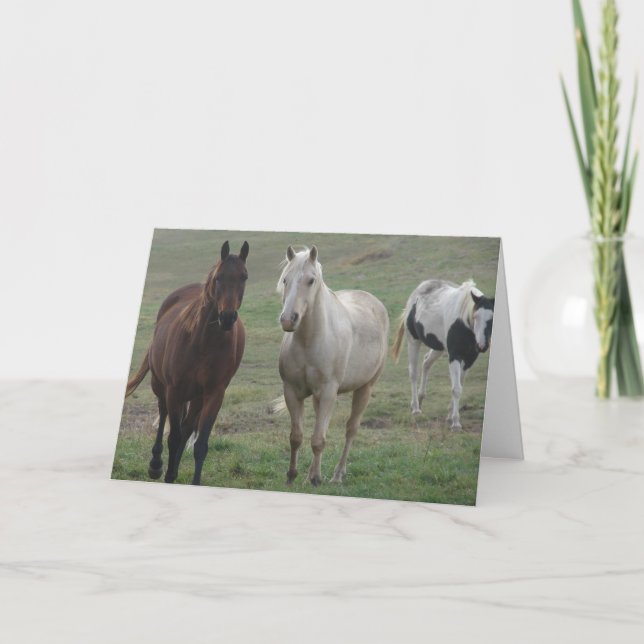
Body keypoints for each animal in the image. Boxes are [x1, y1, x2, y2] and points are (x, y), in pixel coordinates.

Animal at [125, 240, 249, 485]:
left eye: (244, 277)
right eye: (219, 277)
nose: (227, 317)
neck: (204, 341)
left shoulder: (214, 394)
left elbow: (199, 444)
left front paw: (191, 480)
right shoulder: (174, 390)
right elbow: (173, 437)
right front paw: (163, 472)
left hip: (196, 397)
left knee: (187, 427)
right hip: (161, 385)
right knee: (164, 414)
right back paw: (156, 465)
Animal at [275, 245, 389, 486]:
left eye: (311, 280)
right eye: (285, 279)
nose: (288, 319)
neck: (310, 340)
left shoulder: (329, 392)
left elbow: (319, 439)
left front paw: (317, 478)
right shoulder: (292, 391)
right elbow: (296, 437)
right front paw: (291, 476)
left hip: (364, 388)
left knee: (351, 429)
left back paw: (337, 475)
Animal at [391, 279, 494, 429]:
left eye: (492, 319)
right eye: (475, 315)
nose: (482, 345)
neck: (464, 321)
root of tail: (416, 292)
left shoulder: (470, 359)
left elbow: (459, 385)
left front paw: (450, 416)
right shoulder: (455, 355)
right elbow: (456, 389)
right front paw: (455, 422)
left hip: (439, 348)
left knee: (426, 363)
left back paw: (420, 399)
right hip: (413, 341)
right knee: (413, 373)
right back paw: (415, 408)